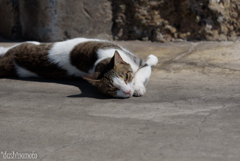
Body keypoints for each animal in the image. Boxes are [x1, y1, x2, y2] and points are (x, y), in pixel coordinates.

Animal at [0, 38, 159, 98]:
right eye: (113, 89)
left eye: (126, 77)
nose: (127, 92)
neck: (101, 61)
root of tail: (11, 59)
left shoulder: (139, 63)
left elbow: (140, 74)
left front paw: (137, 87)